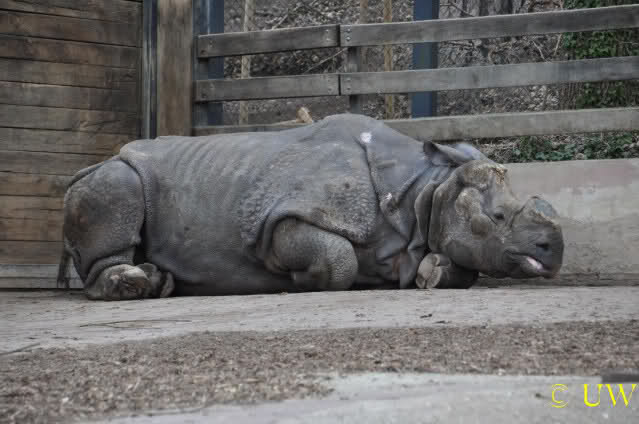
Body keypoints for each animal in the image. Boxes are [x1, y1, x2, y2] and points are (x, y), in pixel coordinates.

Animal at [57, 114, 564, 300]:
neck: (424, 190)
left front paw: (431, 274)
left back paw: (160, 282)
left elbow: (456, 267)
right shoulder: (283, 218)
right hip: (111, 175)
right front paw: (303, 281)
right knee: (116, 185)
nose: (554, 249)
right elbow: (336, 258)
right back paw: (133, 284)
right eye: (496, 218)